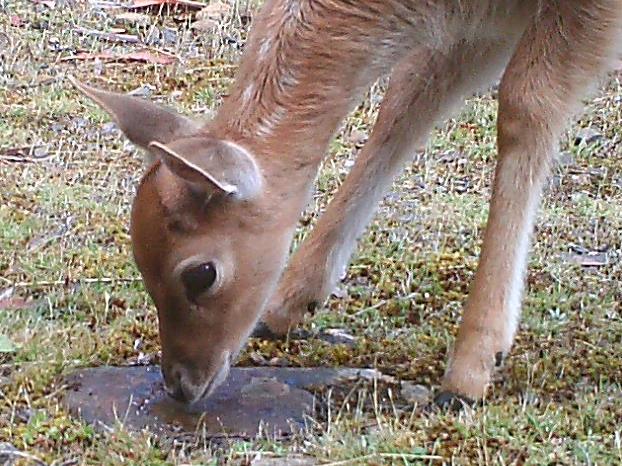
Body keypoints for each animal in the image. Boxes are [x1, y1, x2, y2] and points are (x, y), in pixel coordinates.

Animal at [70, 0, 620, 408]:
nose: (180, 386)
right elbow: (408, 94)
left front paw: (472, 367)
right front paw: (288, 302)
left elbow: (525, 105)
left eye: (201, 274)